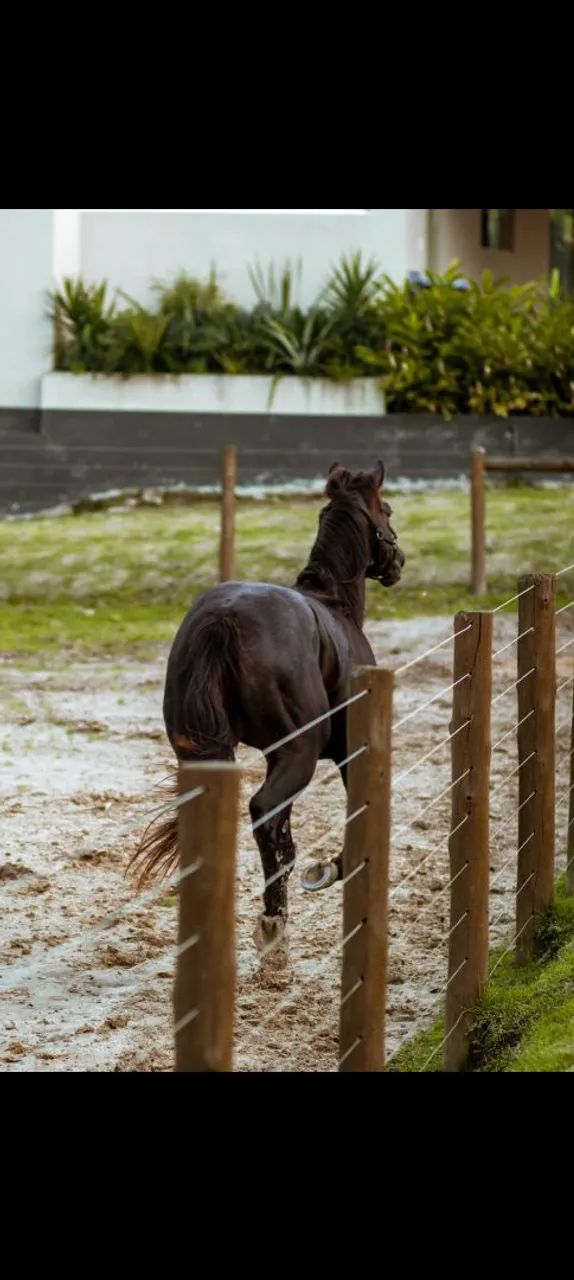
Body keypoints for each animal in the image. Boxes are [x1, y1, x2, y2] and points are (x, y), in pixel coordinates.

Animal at [129, 459, 405, 948]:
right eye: (386, 509)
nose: (399, 562)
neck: (334, 605)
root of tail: (223, 619)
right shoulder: (346, 753)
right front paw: (331, 867)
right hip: (299, 754)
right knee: (263, 812)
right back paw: (273, 916)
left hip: (207, 755)